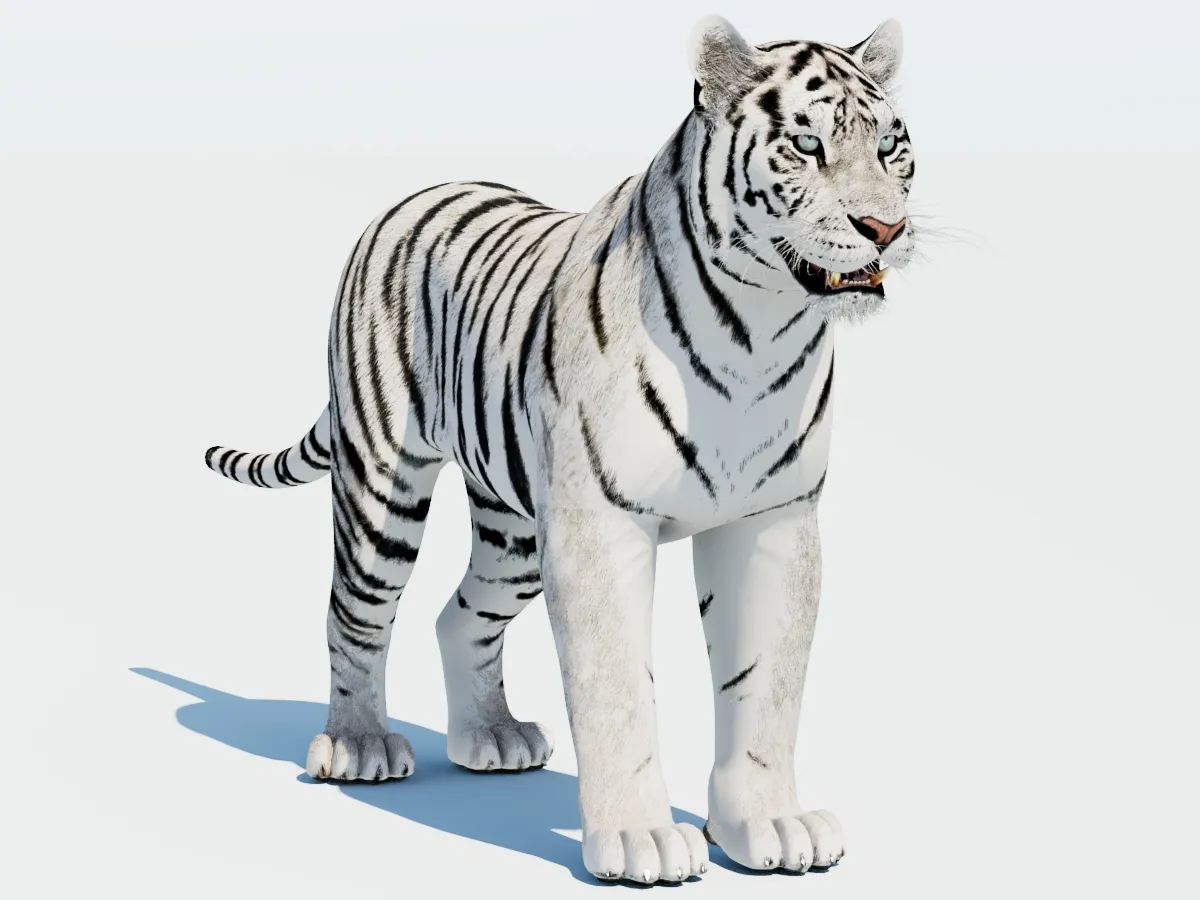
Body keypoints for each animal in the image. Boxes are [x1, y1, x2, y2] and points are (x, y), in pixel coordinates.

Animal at [204, 14, 916, 885]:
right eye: (807, 145)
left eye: (891, 146)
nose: (885, 228)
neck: (762, 328)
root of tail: (416, 193)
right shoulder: (600, 527)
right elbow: (618, 689)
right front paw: (641, 840)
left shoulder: (773, 521)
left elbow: (764, 686)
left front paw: (768, 825)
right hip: (383, 487)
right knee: (355, 613)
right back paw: (360, 744)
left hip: (517, 531)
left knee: (460, 614)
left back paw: (492, 735)